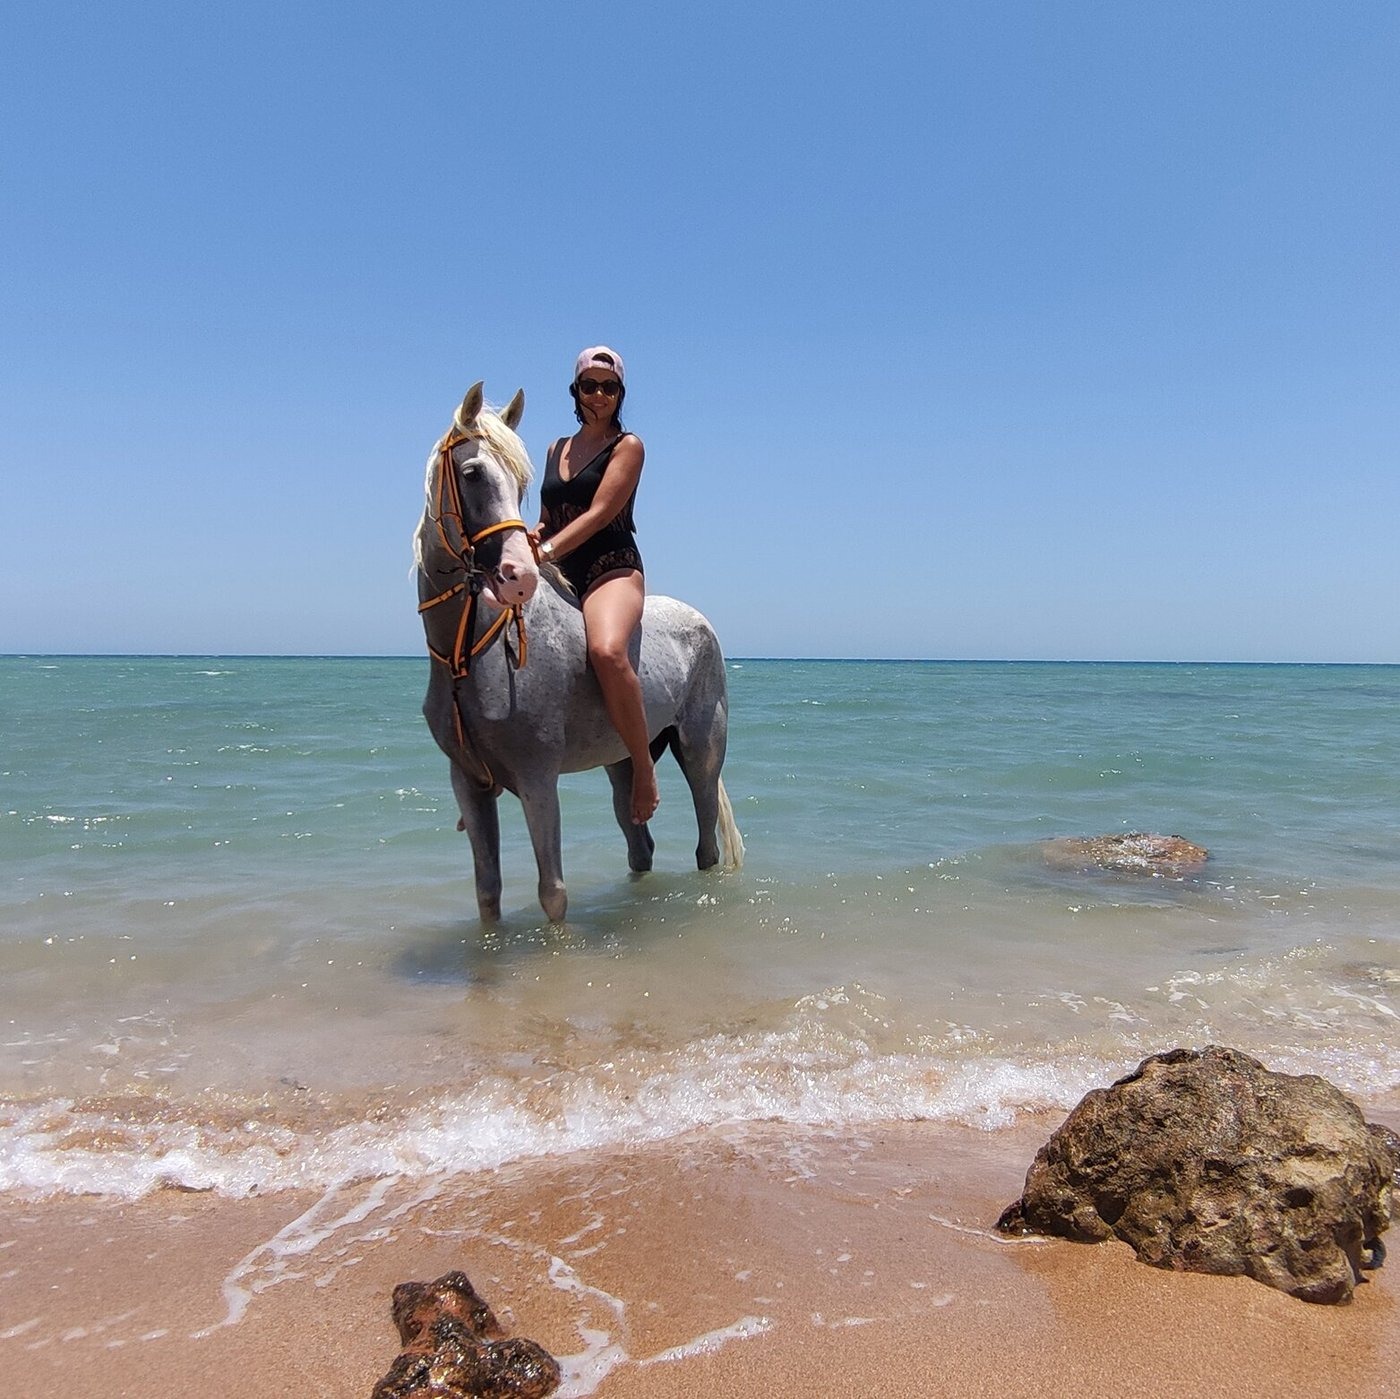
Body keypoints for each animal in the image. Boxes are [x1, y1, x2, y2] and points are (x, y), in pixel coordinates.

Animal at [413, 382, 743, 923]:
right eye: (472, 472)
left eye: (521, 482)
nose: (519, 576)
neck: (472, 654)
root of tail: (699, 621)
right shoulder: (469, 784)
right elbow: (488, 892)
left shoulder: (538, 780)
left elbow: (553, 892)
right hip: (625, 762)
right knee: (640, 846)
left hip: (701, 753)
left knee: (706, 847)